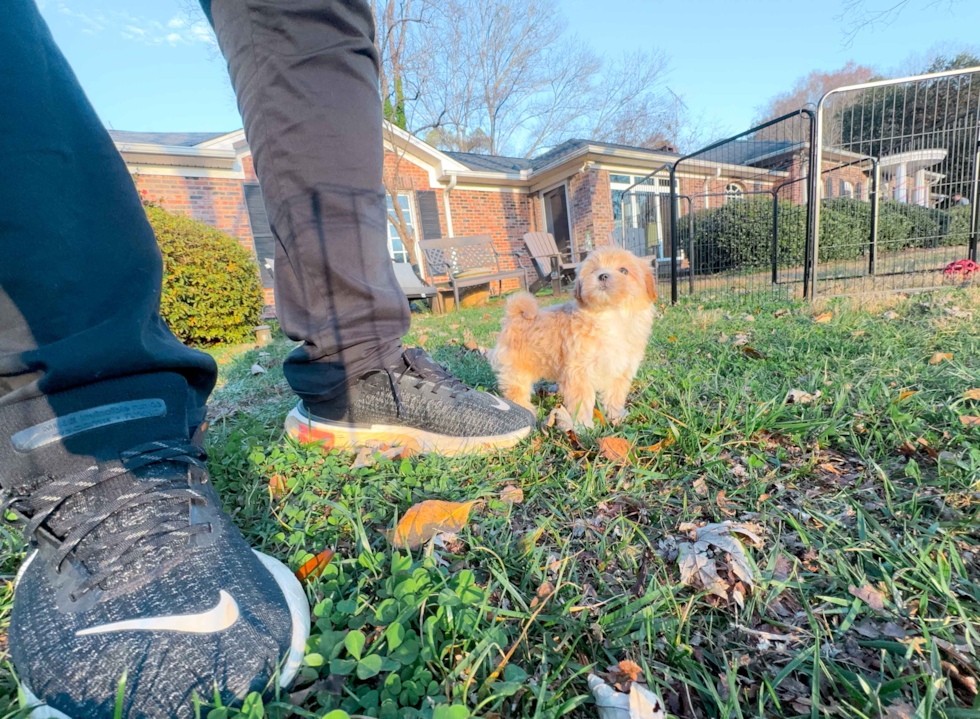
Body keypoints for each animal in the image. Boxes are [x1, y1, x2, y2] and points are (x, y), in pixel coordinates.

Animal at [490, 248, 660, 428]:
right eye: (593, 270)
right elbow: (582, 401)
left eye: (624, 271)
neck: (609, 315)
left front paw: (616, 416)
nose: (602, 276)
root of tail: (514, 314)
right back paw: (525, 410)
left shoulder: (620, 369)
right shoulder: (578, 371)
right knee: (516, 391)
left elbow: (615, 395)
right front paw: (584, 426)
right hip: (516, 367)